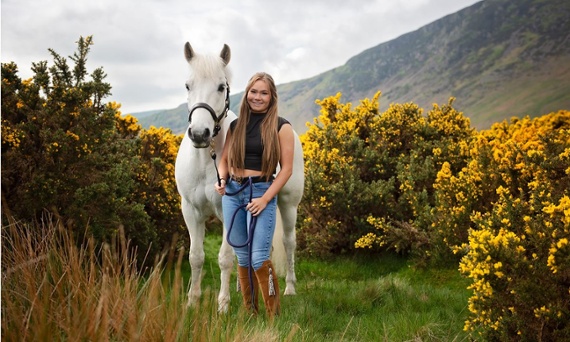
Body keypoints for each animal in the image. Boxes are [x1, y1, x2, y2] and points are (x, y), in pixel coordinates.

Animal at [174, 42, 304, 312]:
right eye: (188, 85)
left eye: (221, 86)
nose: (200, 134)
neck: (206, 159)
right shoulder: (191, 211)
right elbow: (196, 257)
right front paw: (192, 301)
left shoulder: (227, 211)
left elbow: (224, 258)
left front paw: (222, 305)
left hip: (288, 205)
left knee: (288, 242)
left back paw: (289, 288)